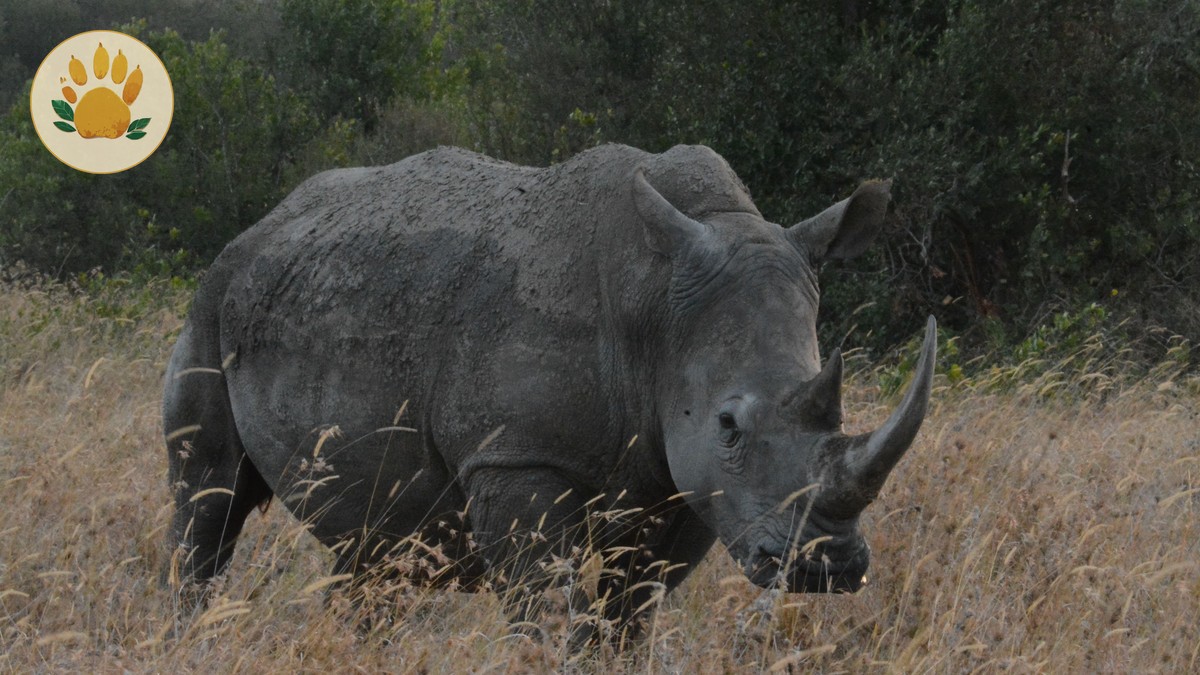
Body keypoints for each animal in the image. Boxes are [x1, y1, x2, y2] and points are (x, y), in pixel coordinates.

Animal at [163, 143, 936, 640]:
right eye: (728, 424)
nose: (827, 567)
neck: (655, 309)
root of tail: (268, 221)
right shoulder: (518, 456)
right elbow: (547, 613)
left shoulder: (688, 486)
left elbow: (628, 620)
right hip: (211, 300)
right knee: (208, 500)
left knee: (374, 548)